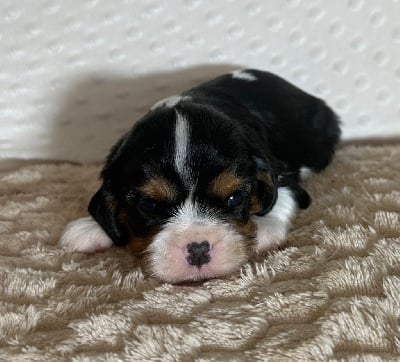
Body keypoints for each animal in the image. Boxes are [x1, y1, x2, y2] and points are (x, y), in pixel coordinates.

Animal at [60, 68, 340, 282]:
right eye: (149, 205)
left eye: (234, 198)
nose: (197, 250)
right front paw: (89, 227)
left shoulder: (281, 171)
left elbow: (282, 194)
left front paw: (264, 228)